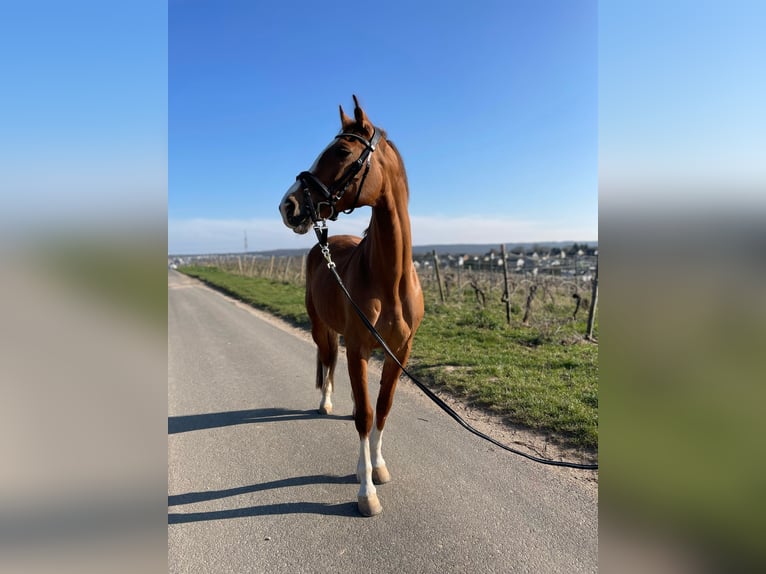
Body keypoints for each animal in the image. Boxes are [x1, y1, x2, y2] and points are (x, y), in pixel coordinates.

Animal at [279, 96, 424, 516]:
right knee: (327, 362)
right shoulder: (359, 349)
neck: (389, 279)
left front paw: (378, 465)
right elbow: (364, 415)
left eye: (342, 151)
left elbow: (383, 408)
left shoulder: (398, 353)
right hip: (321, 327)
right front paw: (366, 491)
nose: (288, 206)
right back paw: (326, 403)